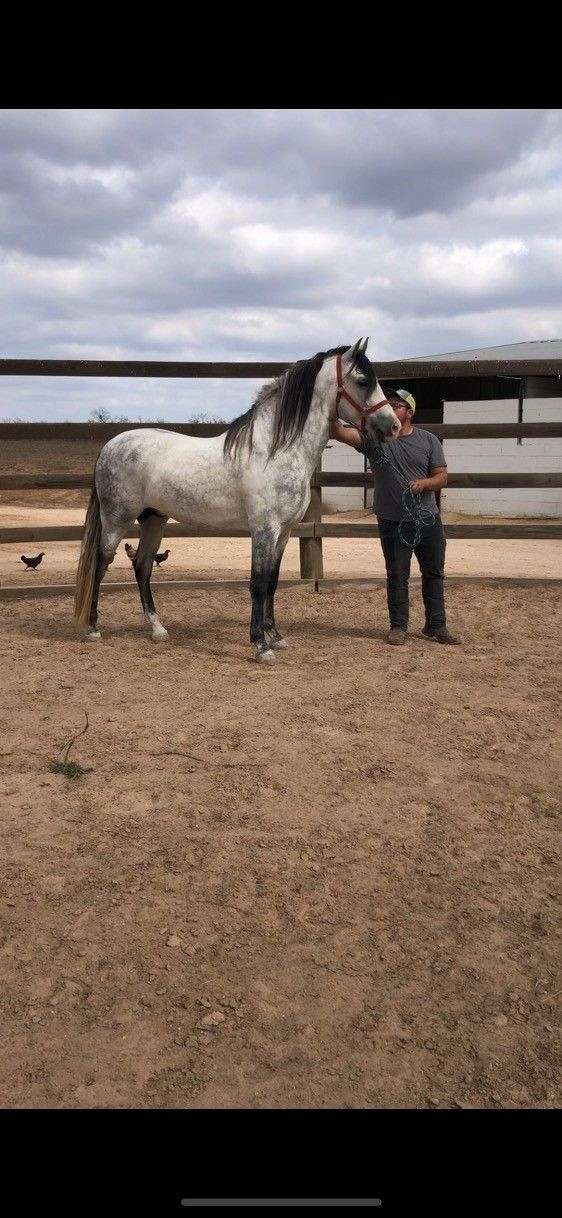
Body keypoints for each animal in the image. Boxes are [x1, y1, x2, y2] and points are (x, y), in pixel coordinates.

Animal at [74, 339, 400, 662]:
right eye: (363, 381)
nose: (394, 426)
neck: (275, 450)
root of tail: (110, 446)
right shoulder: (264, 530)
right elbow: (257, 583)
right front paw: (260, 645)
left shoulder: (284, 532)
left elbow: (272, 581)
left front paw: (275, 635)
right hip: (117, 520)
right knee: (101, 564)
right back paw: (92, 629)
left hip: (154, 519)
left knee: (142, 565)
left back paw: (157, 628)